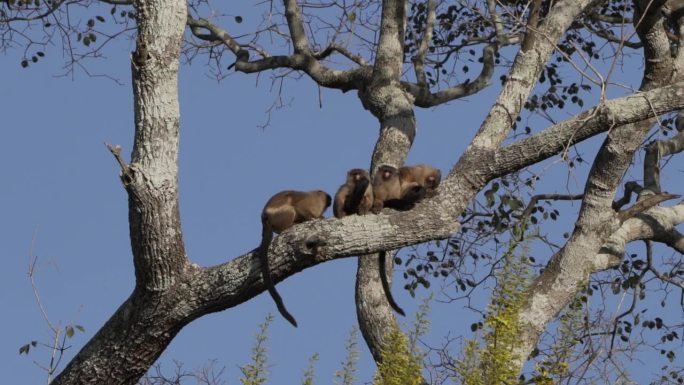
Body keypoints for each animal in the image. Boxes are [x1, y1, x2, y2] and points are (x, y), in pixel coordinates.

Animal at [260, 188, 332, 326]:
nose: (328, 204)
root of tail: (265, 217)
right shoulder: (309, 202)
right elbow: (300, 207)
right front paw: (318, 217)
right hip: (282, 214)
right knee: (291, 208)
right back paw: (290, 225)